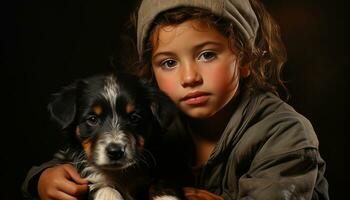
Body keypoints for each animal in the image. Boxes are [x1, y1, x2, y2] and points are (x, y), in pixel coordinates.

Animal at [47, 72, 175, 200]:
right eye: (92, 119)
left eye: (134, 118)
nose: (115, 152)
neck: (119, 173)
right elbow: (106, 188)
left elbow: (161, 184)